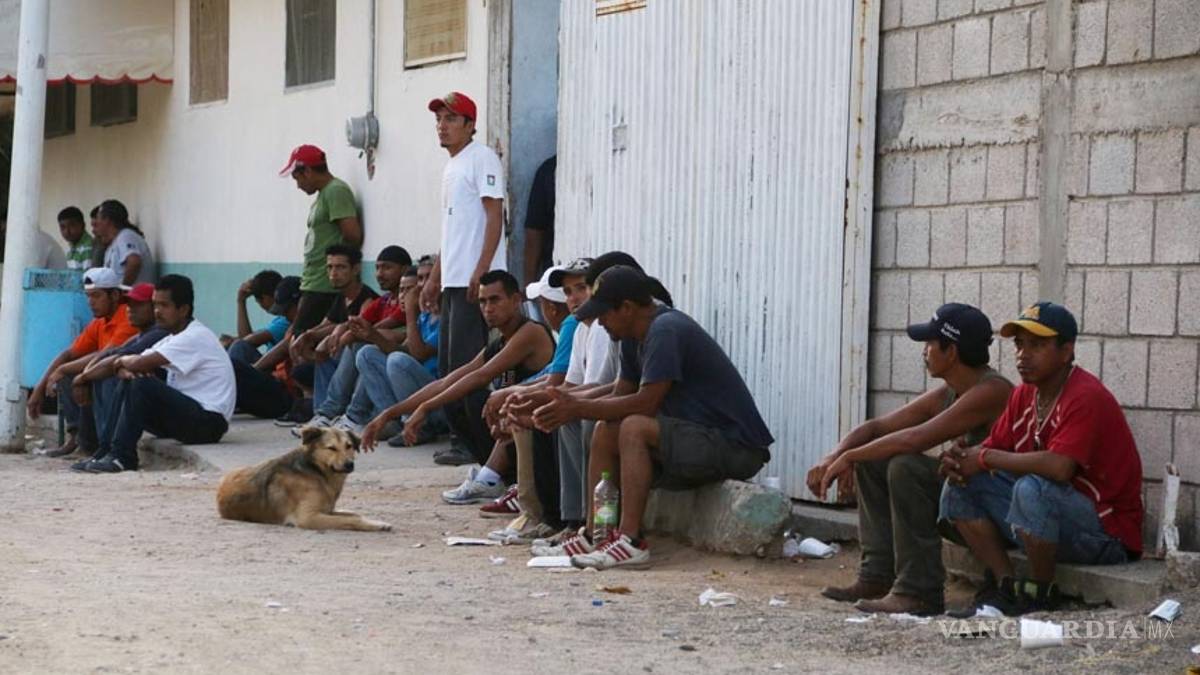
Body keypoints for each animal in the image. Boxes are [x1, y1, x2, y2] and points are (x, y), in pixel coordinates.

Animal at [216, 426, 392, 532]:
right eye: (331, 448)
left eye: (349, 446)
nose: (349, 464)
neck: (317, 472)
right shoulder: (308, 518)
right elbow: (351, 520)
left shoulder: (327, 510)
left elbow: (354, 514)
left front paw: (378, 522)